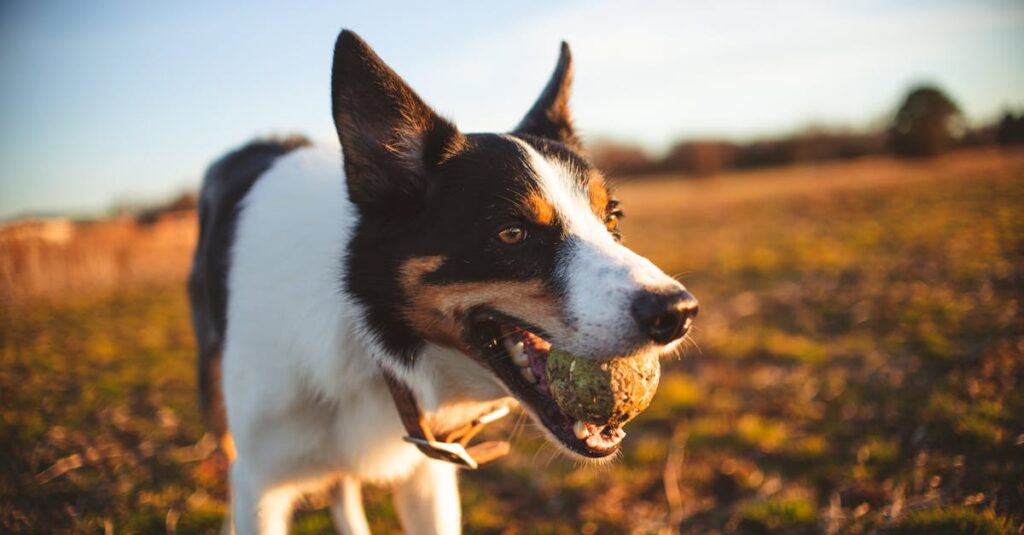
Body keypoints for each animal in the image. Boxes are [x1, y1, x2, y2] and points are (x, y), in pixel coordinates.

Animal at [188, 30, 696, 532]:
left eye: (612, 219)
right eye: (512, 233)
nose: (678, 313)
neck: (368, 336)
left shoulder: (427, 476)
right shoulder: (262, 486)